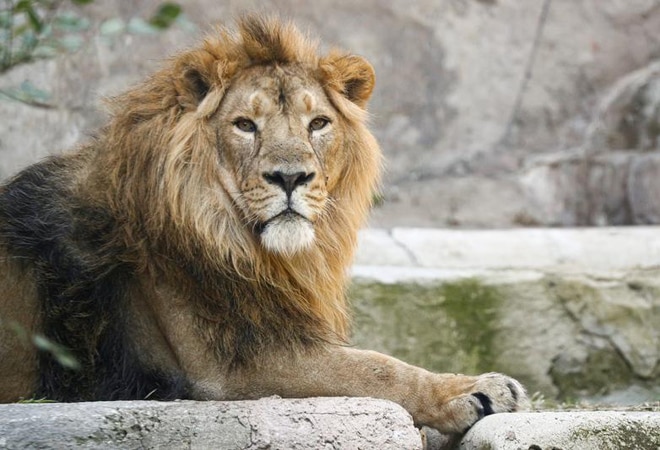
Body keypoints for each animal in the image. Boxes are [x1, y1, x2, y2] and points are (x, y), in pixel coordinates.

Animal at [0, 16, 527, 433]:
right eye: (244, 125)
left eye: (318, 124)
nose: (290, 177)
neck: (247, 246)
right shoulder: (229, 367)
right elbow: (376, 369)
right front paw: (475, 390)